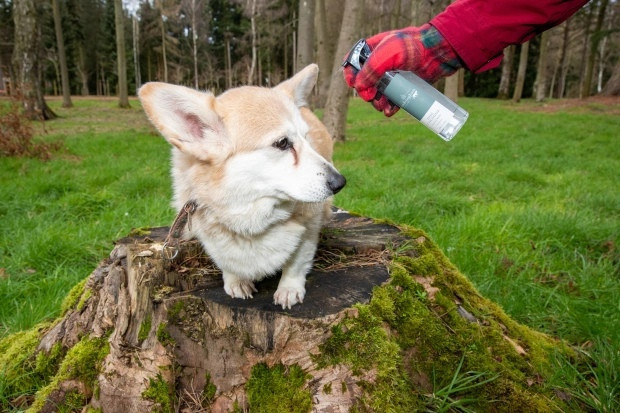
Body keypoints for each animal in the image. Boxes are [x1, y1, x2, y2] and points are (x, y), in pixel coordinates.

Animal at [137, 64, 346, 308]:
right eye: (282, 143)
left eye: (306, 138)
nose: (340, 182)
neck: (252, 217)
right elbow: (226, 261)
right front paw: (235, 280)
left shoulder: (309, 229)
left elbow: (296, 261)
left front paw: (289, 289)